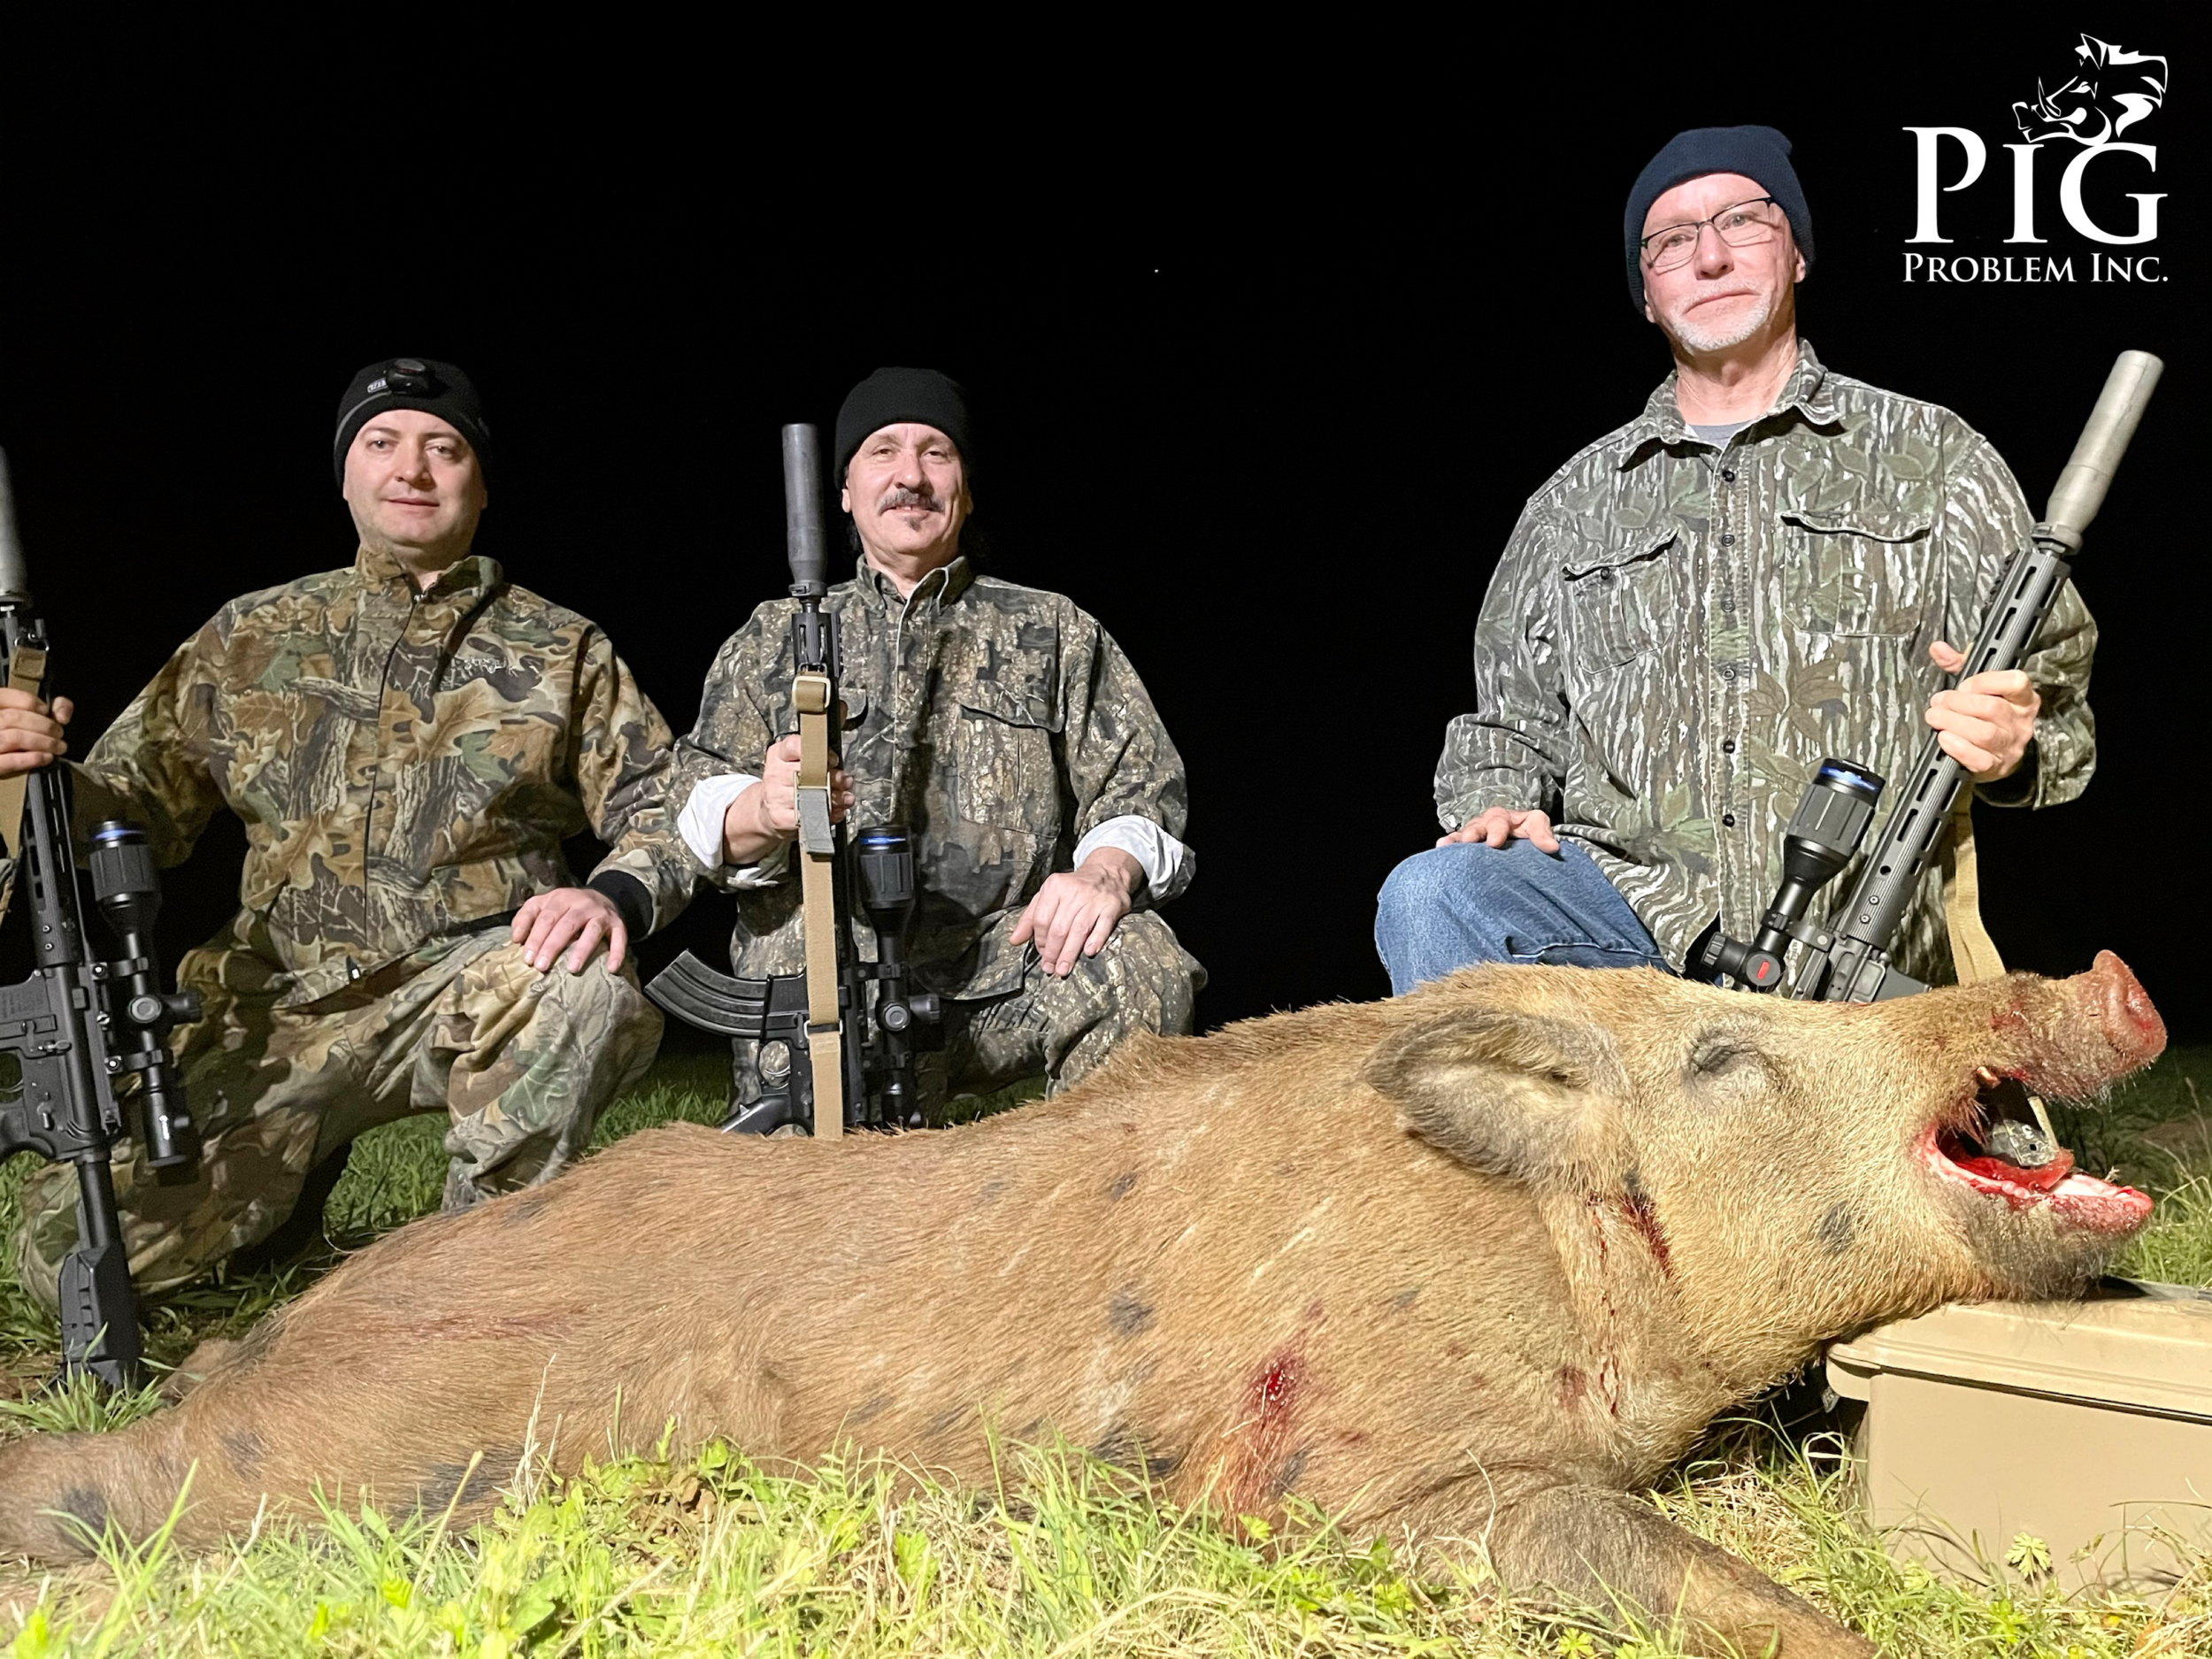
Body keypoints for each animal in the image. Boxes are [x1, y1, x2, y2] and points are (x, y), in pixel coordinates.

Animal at [0, 954, 2167, 1657]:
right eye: (1723, 1052)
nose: (2113, 974)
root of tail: (273, 1334)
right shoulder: (1365, 1481)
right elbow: (1715, 1584)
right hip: (335, 1457)